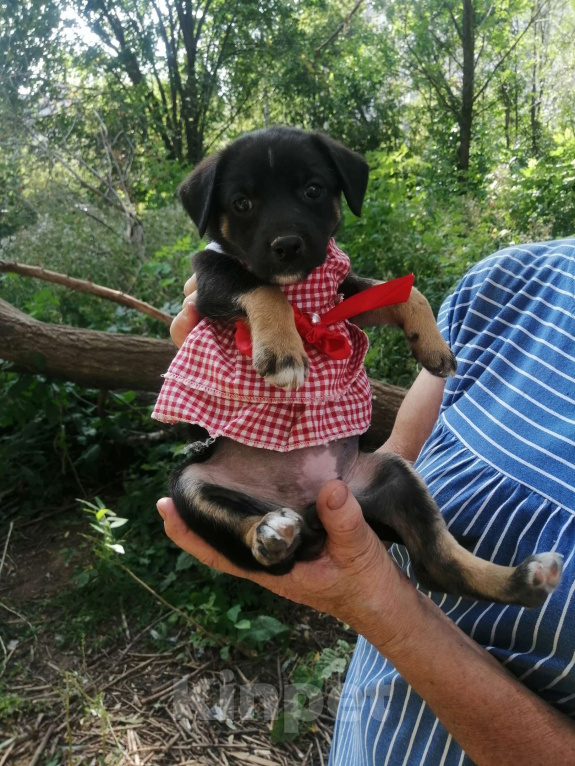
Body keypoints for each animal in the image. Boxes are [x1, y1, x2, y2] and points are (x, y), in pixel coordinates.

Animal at [153, 127, 564, 608]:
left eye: (313, 190)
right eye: (241, 203)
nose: (287, 246)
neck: (304, 291)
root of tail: (307, 505)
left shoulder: (344, 295)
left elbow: (401, 292)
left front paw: (433, 346)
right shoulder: (212, 282)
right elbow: (260, 288)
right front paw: (282, 352)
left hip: (394, 478)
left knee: (439, 566)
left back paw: (525, 579)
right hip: (189, 484)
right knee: (247, 534)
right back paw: (269, 533)